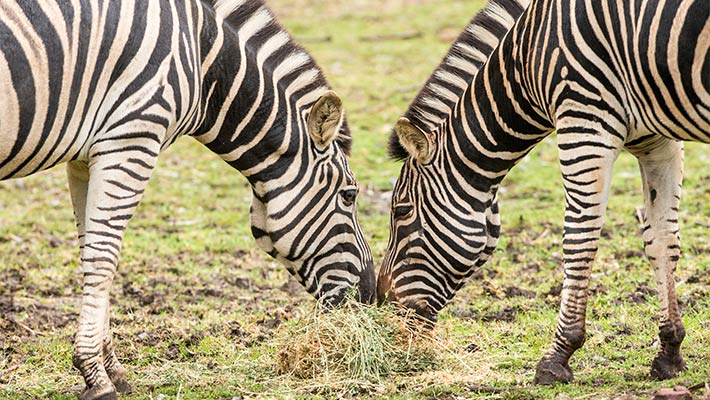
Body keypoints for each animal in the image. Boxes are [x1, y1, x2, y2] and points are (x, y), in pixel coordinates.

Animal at [0, 0, 376, 398]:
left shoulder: (87, 155)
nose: (371, 295)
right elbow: (104, 258)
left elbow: (91, 251)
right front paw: (95, 376)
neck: (202, 55)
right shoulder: (132, 139)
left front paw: (111, 367)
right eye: (349, 195)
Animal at [378, 0, 708, 385]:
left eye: (401, 211)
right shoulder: (657, 141)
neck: (525, 60)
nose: (383, 305)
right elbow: (661, 238)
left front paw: (558, 356)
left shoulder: (584, 122)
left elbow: (578, 241)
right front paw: (670, 352)